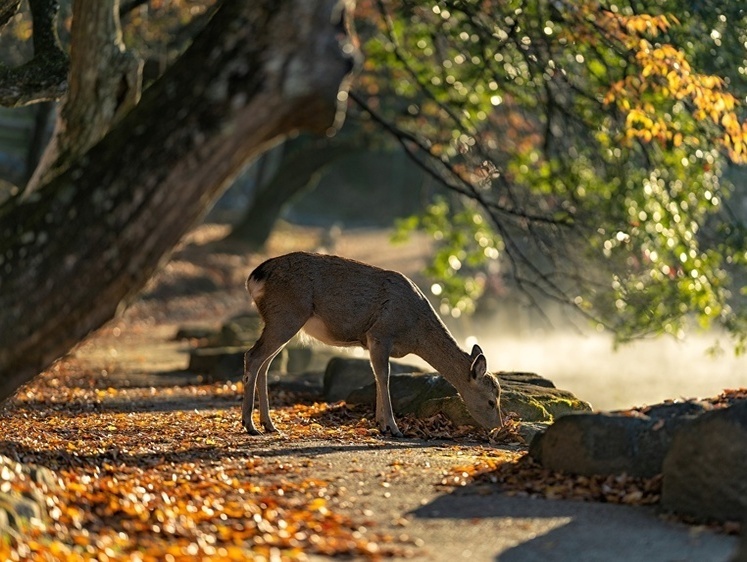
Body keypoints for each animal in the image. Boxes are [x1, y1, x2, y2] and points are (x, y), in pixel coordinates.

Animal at [243, 252, 506, 436]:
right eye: (491, 401)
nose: (498, 426)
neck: (414, 332)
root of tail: (254, 277)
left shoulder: (373, 341)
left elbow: (377, 376)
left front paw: (381, 425)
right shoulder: (380, 333)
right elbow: (384, 376)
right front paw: (394, 428)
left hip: (280, 320)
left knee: (265, 364)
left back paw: (269, 424)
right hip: (286, 315)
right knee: (252, 356)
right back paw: (250, 425)